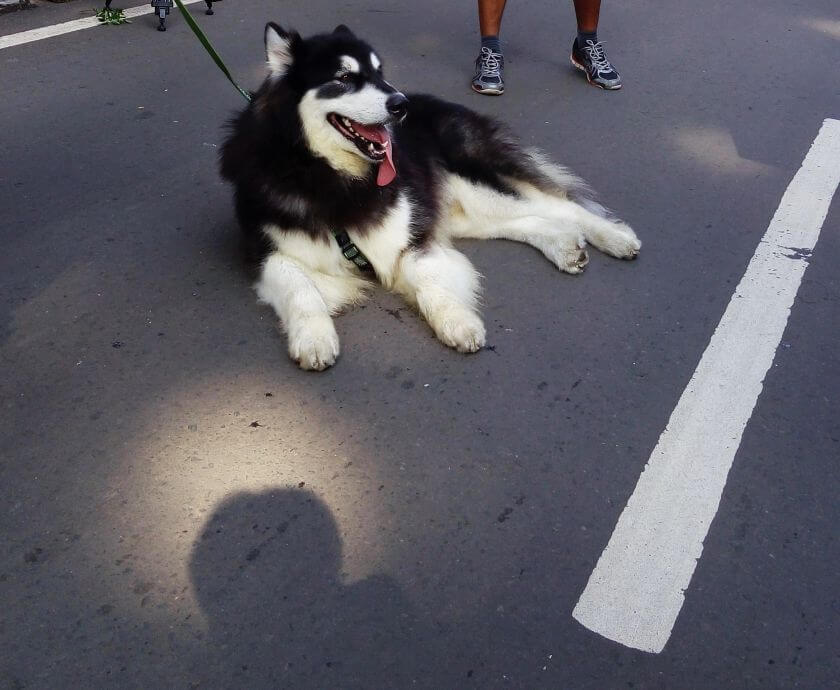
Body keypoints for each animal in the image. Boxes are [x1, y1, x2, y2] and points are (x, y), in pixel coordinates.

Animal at [220, 21, 640, 368]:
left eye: (380, 73)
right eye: (345, 77)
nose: (399, 105)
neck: (329, 174)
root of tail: (439, 102)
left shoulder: (409, 236)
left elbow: (424, 276)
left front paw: (456, 320)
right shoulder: (266, 251)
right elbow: (299, 286)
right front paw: (314, 338)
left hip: (472, 185)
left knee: (561, 204)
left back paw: (615, 238)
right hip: (464, 209)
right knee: (530, 219)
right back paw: (563, 246)